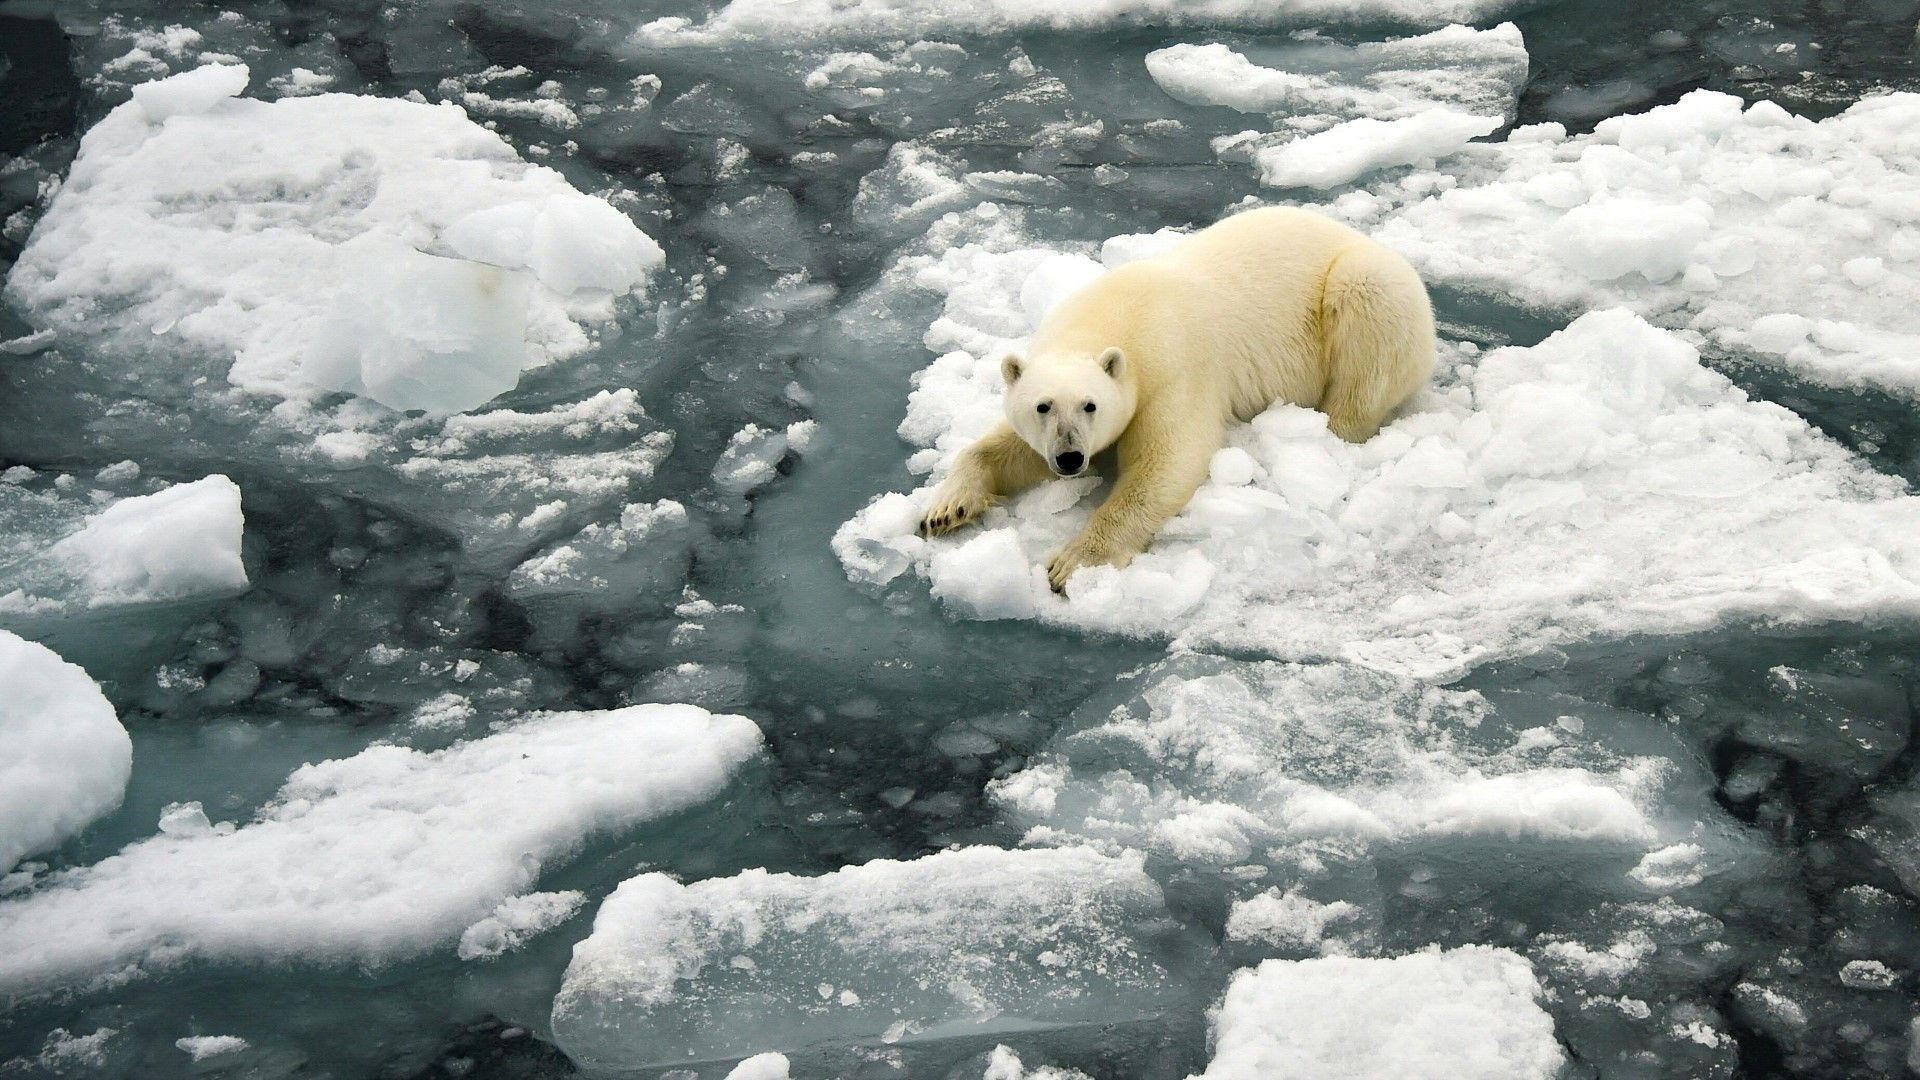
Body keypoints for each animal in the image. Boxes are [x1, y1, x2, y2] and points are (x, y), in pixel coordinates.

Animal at [921, 205, 1436, 591]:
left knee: (1364, 338)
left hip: (1365, 288)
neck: (1115, 315)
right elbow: (1005, 449)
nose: (1070, 459)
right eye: (1042, 406)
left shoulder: (1174, 368)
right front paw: (945, 510)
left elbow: (1166, 462)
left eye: (1091, 405)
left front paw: (1072, 564)